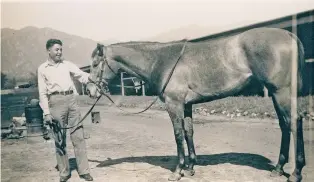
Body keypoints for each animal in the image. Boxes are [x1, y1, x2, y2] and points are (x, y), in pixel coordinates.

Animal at [86, 27, 306, 182]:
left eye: (96, 64)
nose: (90, 90)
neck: (161, 60)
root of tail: (289, 35)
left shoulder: (174, 104)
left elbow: (177, 135)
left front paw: (177, 171)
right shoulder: (186, 105)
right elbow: (188, 132)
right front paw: (191, 167)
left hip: (281, 92)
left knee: (294, 122)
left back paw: (296, 173)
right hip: (277, 95)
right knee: (285, 125)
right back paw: (278, 169)